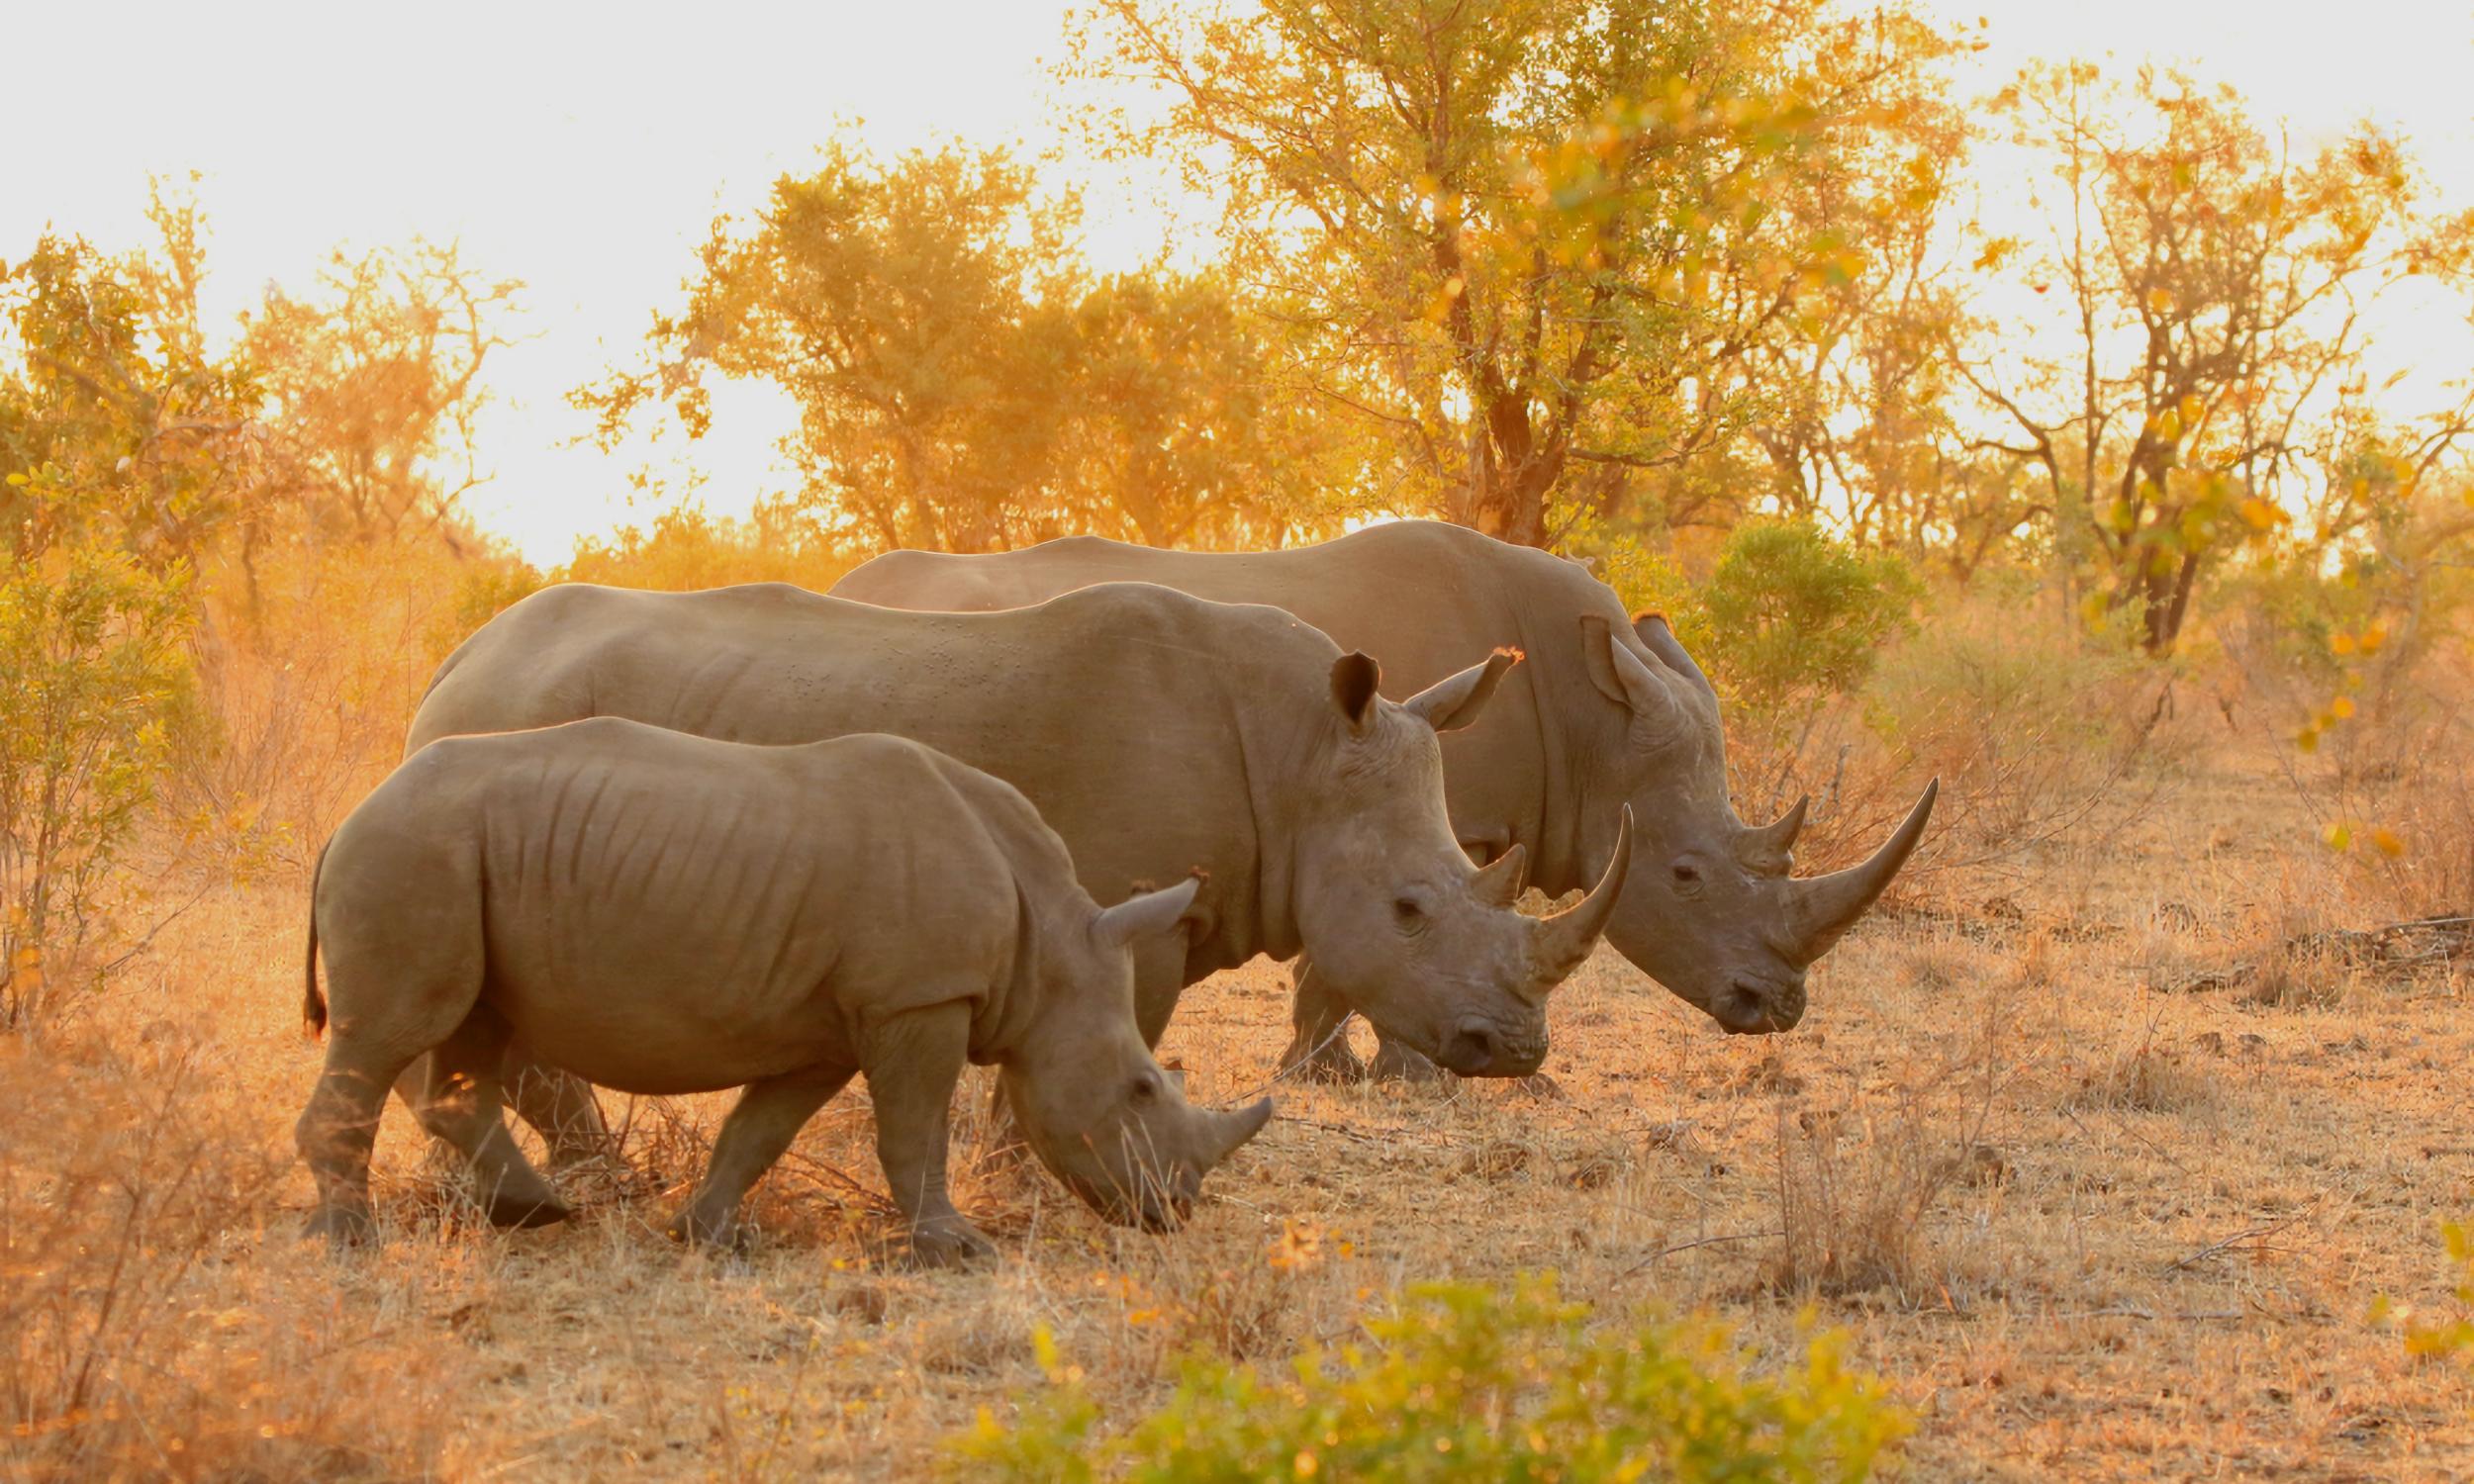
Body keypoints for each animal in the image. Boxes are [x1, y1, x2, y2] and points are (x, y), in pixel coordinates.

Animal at [297, 722, 1272, 1263]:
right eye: (1141, 1090)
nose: (1176, 1211)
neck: (1051, 947)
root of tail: (349, 814)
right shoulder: (918, 1000)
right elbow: (913, 1132)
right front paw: (957, 1251)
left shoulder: (836, 1026)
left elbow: (760, 1131)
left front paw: (706, 1237)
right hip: (415, 847)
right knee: (391, 1033)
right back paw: (353, 1243)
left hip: (450, 854)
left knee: (471, 1032)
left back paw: (533, 1214)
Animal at [402, 580, 1631, 1164]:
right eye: (1409, 909)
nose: (1517, 1051)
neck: (1297, 755)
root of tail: (453, 662)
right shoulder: (1133, 912)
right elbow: (1102, 1041)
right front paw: (1039, 1172)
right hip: (511, 726)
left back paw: (591, 1174)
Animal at [834, 520, 1935, 1078]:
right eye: (1686, 874)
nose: (1776, 1010)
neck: (1593, 721)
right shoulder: (1437, 810)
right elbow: (1375, 949)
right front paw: (1388, 1076)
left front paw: (1339, 1069)